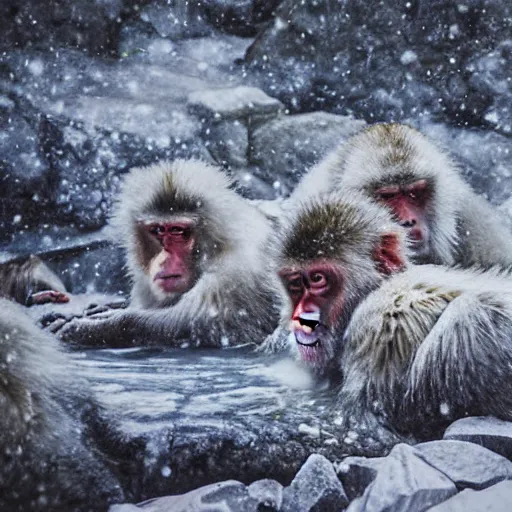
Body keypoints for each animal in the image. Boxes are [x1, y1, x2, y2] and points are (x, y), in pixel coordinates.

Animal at [53, 158, 278, 346]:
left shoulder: (232, 278)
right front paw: (102, 312)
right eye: (158, 230)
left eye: (178, 230)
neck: (219, 245)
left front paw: (97, 327)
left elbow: (206, 328)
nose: (163, 260)